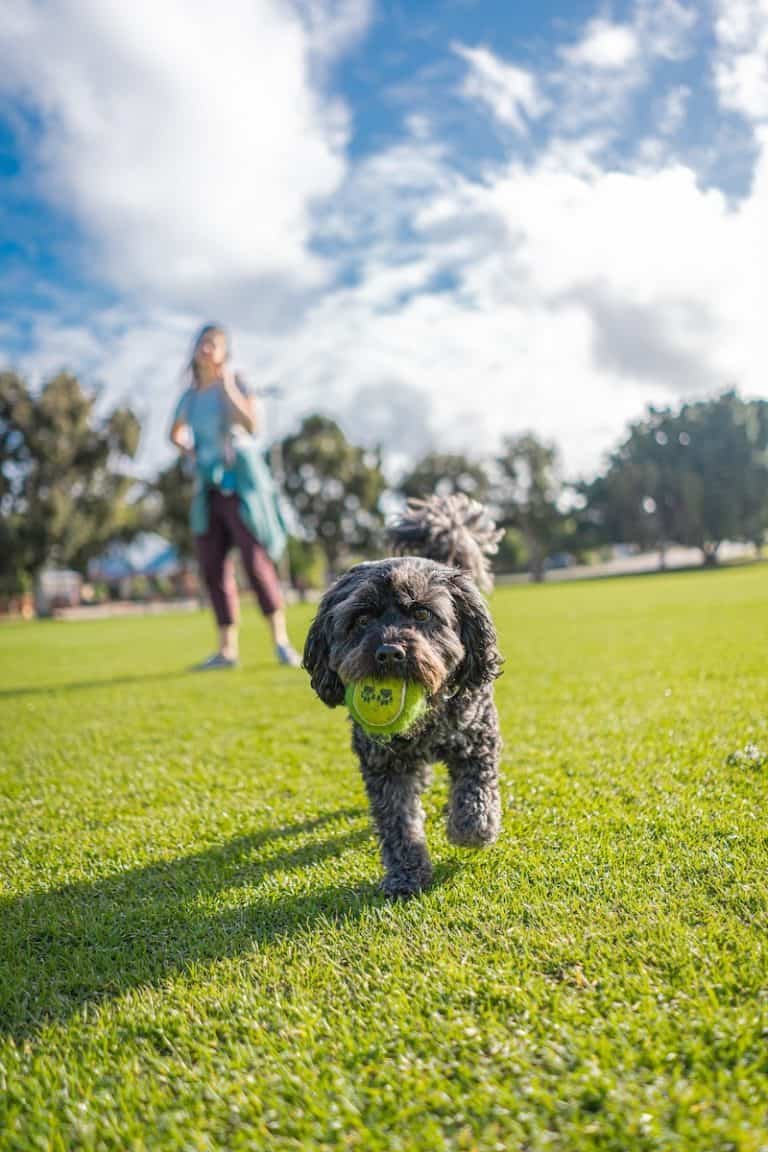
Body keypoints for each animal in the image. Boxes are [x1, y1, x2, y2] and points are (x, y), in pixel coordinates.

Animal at [306, 495, 504, 898]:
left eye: (423, 613)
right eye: (362, 620)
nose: (390, 653)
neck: (427, 716)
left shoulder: (478, 739)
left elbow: (476, 790)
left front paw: (471, 828)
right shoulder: (384, 766)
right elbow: (399, 826)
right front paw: (405, 876)